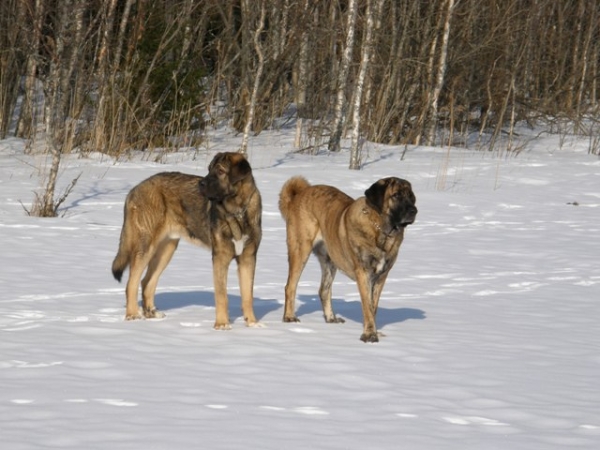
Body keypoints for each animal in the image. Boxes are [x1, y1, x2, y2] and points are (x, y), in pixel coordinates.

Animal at [112, 153, 262, 328]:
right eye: (209, 169)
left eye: (220, 171)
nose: (200, 184)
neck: (236, 211)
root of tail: (134, 189)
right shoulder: (220, 258)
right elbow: (221, 296)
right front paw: (222, 325)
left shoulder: (248, 258)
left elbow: (248, 295)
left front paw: (252, 324)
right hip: (146, 246)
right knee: (132, 283)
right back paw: (132, 315)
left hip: (166, 249)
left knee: (146, 282)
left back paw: (151, 314)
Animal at [280, 176, 418, 342]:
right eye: (396, 195)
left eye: (411, 196)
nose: (414, 210)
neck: (381, 230)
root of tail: (299, 194)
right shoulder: (363, 273)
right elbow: (367, 306)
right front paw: (369, 335)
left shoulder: (381, 276)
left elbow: (373, 306)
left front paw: (373, 331)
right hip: (301, 250)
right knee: (290, 286)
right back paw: (289, 317)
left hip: (330, 260)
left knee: (324, 290)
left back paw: (331, 318)